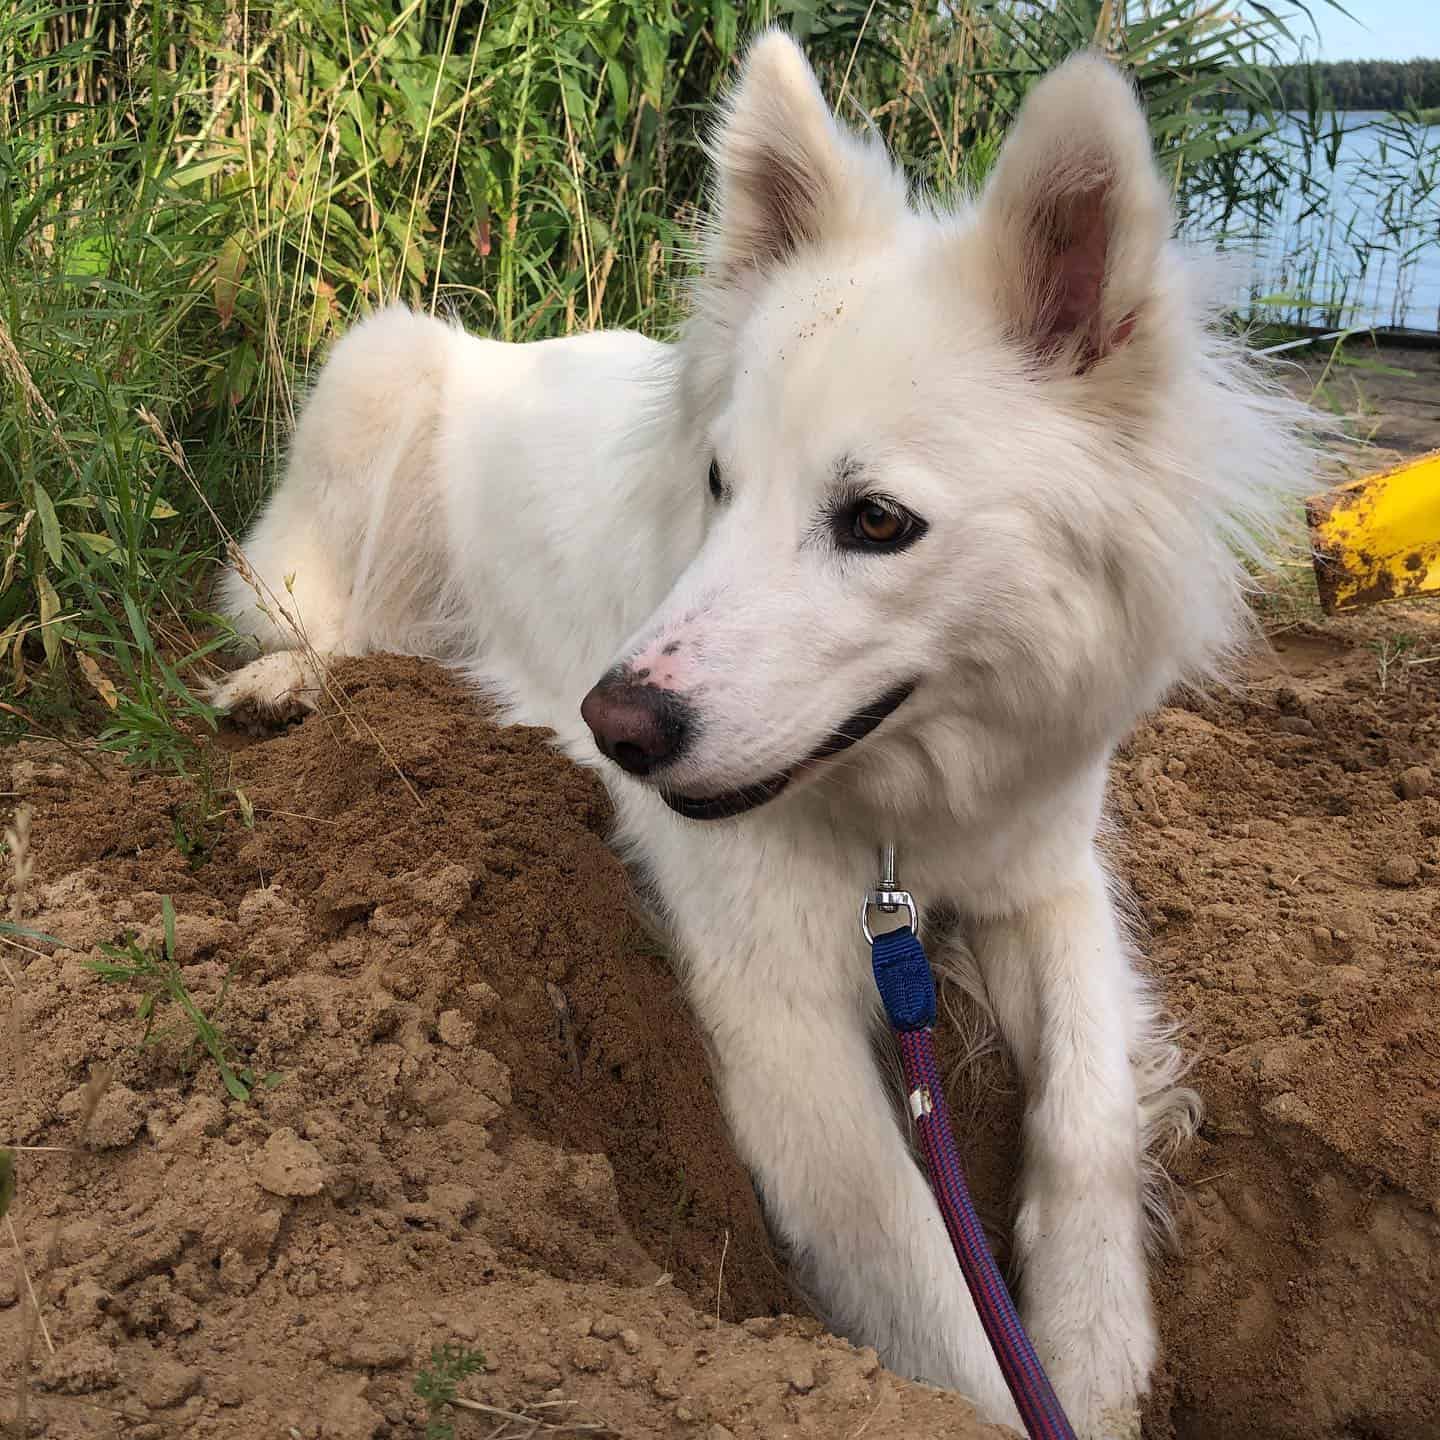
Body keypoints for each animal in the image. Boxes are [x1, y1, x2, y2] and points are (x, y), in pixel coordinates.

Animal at [216, 30, 1319, 1428]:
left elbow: (1090, 1114)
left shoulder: (1048, 882)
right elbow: (916, 1261)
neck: (905, 816)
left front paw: (1098, 1351)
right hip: (376, 388)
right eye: (718, 486)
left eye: (878, 521)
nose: (615, 728)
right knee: (321, 621)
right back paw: (285, 686)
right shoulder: (777, 1008)